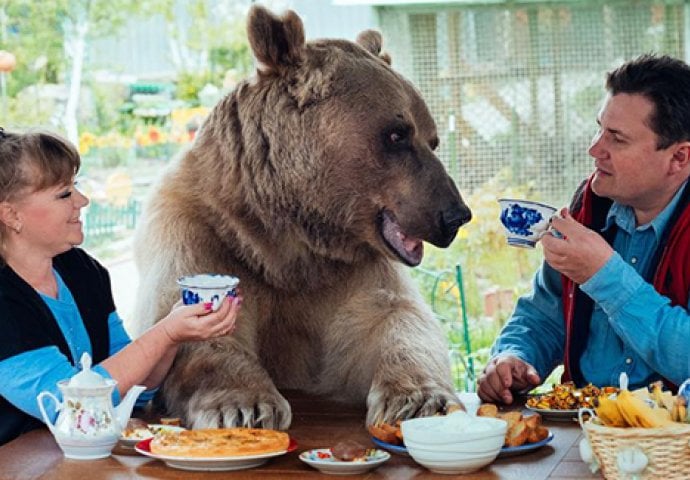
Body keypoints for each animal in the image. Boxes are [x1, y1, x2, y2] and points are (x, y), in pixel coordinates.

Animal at [132, 4, 470, 432]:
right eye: (397, 134)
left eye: (432, 139)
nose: (455, 215)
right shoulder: (201, 232)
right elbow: (194, 325)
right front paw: (245, 406)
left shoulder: (348, 272)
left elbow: (393, 320)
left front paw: (421, 400)